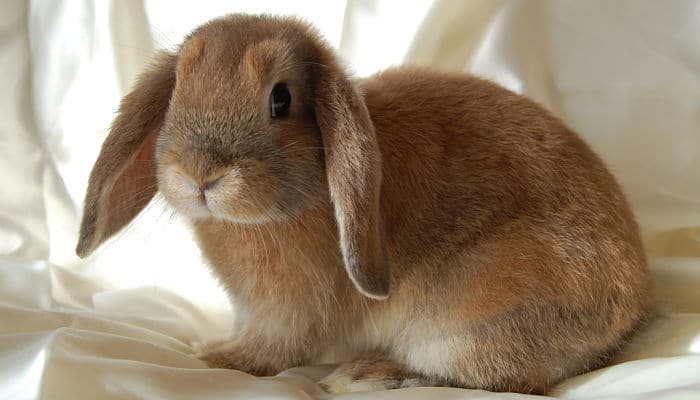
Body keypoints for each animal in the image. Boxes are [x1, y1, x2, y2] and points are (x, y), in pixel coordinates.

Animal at [76, 14, 652, 395]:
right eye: (177, 89)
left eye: (281, 99)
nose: (201, 175)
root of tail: (632, 304)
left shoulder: (287, 316)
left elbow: (272, 350)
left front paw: (219, 357)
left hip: (467, 315)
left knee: (497, 379)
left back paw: (366, 374)